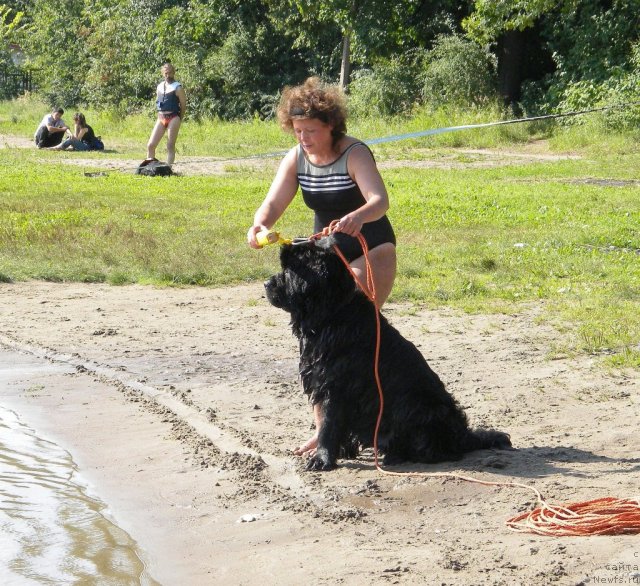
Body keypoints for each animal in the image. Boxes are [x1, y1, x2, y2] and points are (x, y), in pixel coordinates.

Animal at [264, 235, 510, 468]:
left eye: (289, 270)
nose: (266, 283)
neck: (332, 314)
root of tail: (464, 435)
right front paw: (342, 452)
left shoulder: (336, 386)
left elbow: (328, 425)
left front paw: (322, 458)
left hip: (419, 408)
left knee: (441, 452)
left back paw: (397, 455)